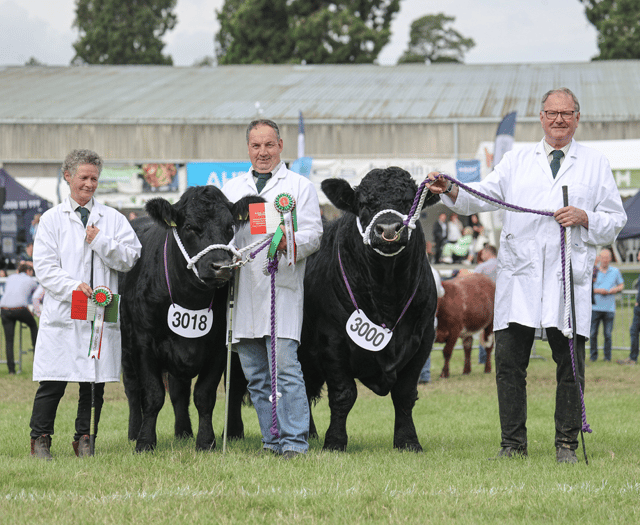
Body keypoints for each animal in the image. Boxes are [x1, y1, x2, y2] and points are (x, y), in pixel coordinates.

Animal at [298, 167, 440, 450]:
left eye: (409, 201)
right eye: (364, 203)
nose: (388, 228)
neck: (387, 293)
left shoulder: (424, 339)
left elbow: (405, 394)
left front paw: (408, 441)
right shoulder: (332, 340)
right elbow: (344, 394)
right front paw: (335, 442)